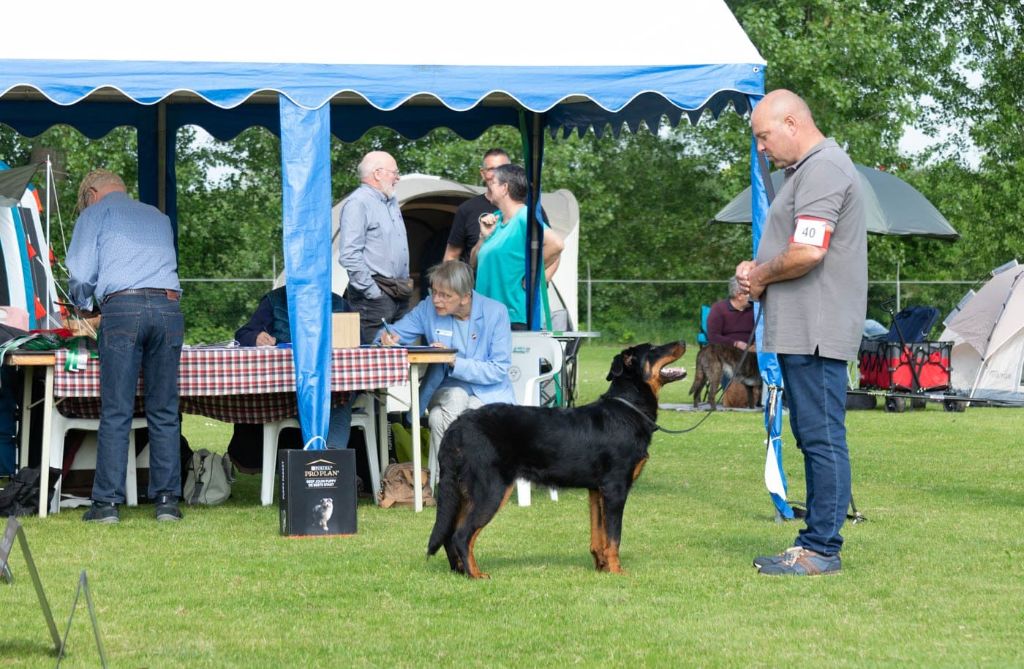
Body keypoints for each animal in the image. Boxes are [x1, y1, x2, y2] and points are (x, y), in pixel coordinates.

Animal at [427, 341, 686, 578]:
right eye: (653, 349)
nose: (683, 342)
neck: (628, 409)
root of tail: (457, 425)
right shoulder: (615, 488)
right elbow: (614, 537)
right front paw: (616, 571)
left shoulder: (597, 490)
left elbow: (598, 535)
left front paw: (601, 568)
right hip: (491, 490)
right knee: (462, 535)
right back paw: (475, 574)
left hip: (465, 491)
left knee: (450, 534)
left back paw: (459, 571)